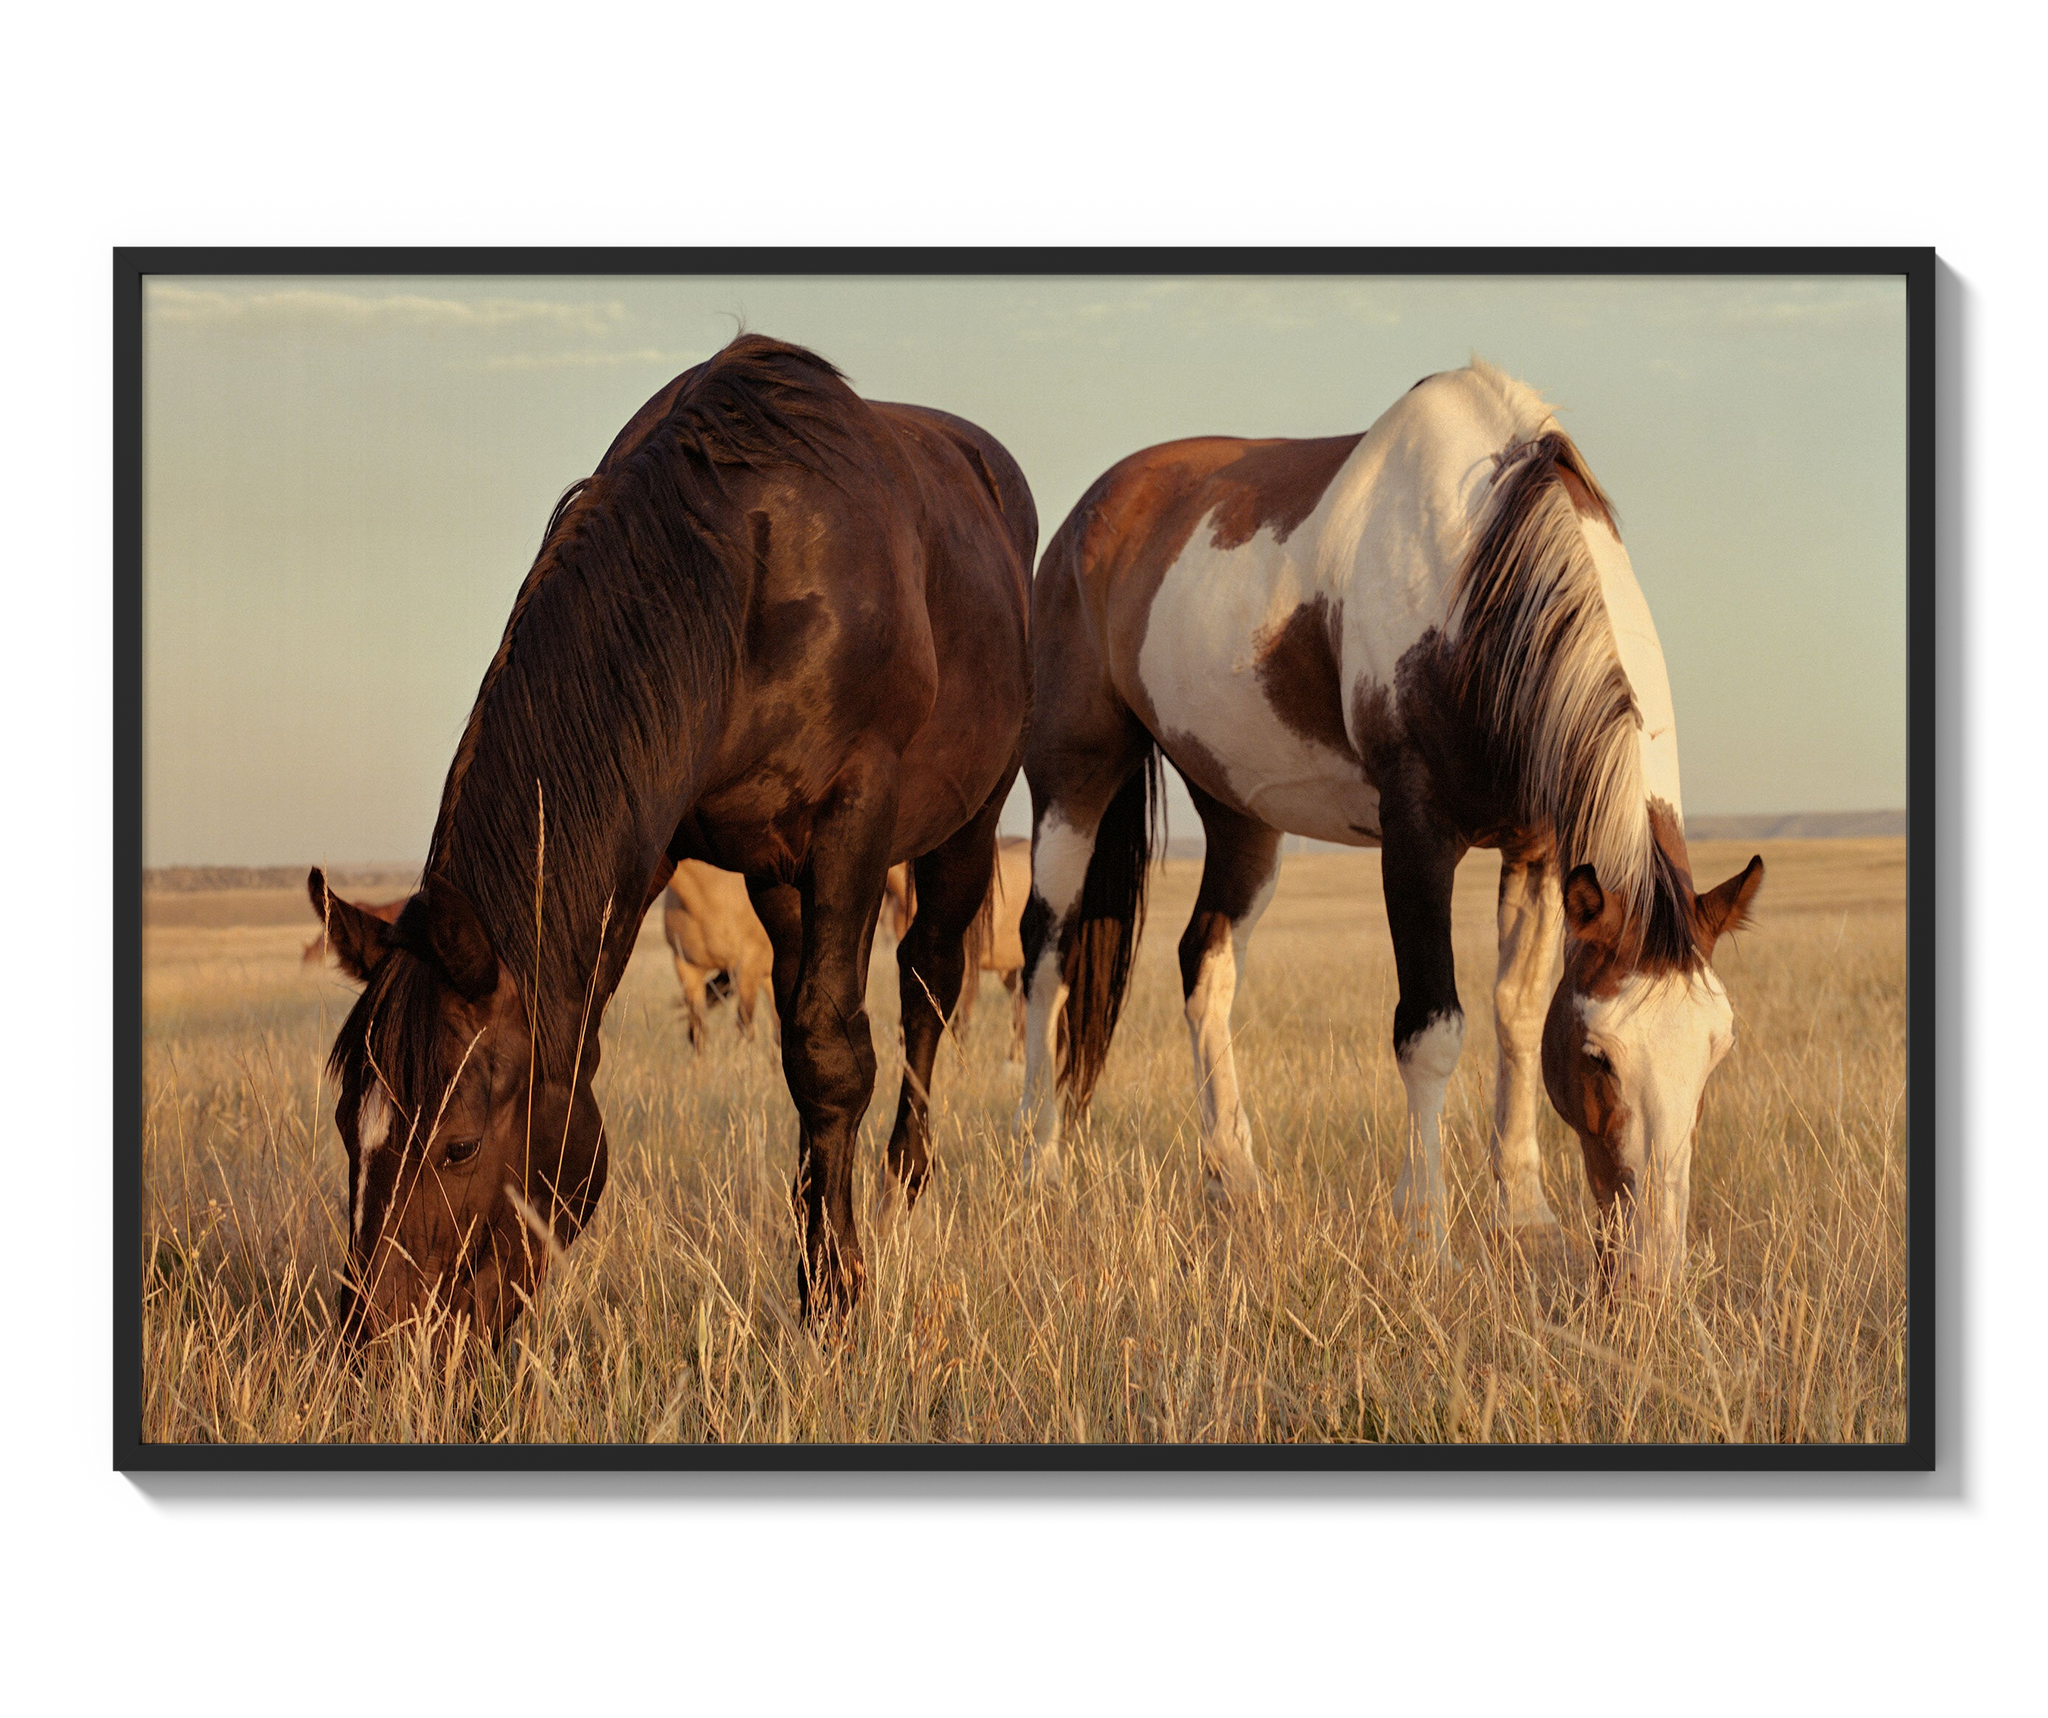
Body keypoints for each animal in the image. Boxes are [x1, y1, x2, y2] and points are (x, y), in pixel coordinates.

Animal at [1019, 362, 1761, 1294]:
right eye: (1598, 1056)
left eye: (1716, 1052)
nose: (1652, 1273)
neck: (1475, 570)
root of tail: (1087, 517)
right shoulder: (1417, 836)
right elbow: (1431, 1030)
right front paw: (1427, 1239)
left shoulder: (1538, 848)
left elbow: (1517, 1013)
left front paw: (1524, 1214)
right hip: (1072, 780)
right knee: (1045, 954)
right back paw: (1039, 1169)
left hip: (1240, 812)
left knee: (1205, 961)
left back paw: (1236, 1185)